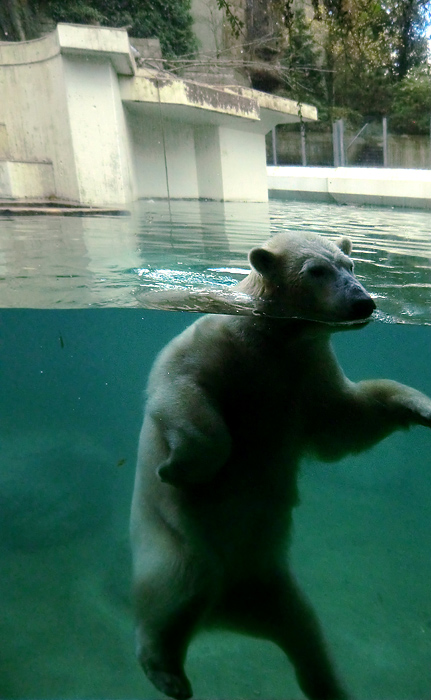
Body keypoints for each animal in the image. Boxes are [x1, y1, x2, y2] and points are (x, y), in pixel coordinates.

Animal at [131, 232, 431, 696]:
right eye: (317, 271)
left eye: (351, 265)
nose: (363, 302)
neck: (274, 338)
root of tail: (229, 611)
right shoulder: (214, 342)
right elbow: (184, 390)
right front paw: (178, 469)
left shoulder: (307, 373)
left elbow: (344, 421)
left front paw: (420, 406)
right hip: (181, 547)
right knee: (176, 592)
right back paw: (169, 674)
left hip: (274, 585)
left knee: (306, 635)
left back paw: (331, 688)